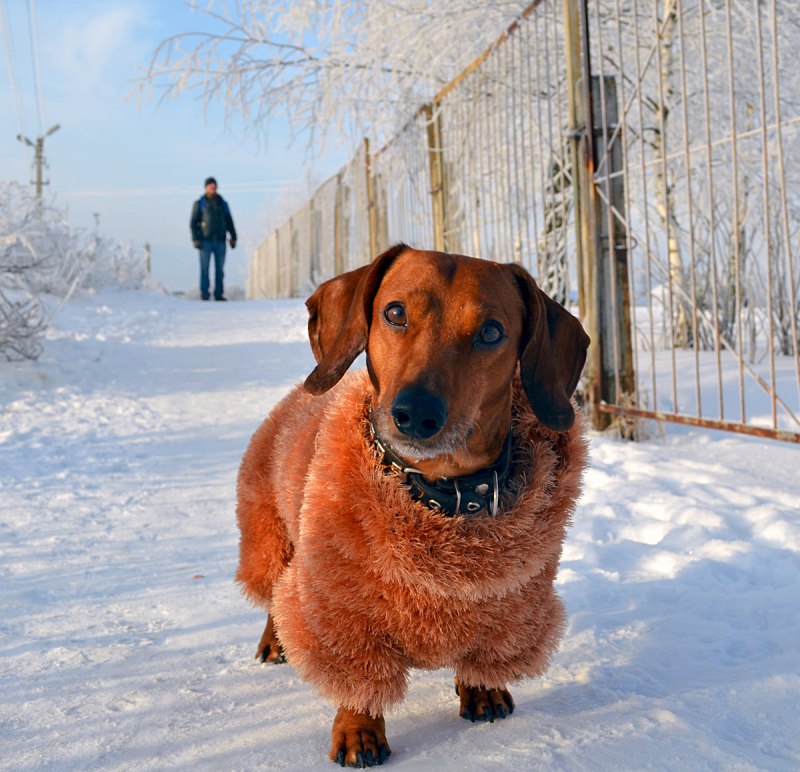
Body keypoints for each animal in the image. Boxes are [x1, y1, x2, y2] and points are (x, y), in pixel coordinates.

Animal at [234, 244, 592, 764]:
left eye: (491, 331)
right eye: (395, 312)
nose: (416, 413)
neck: (441, 498)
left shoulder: (508, 602)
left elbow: (485, 654)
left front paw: (481, 688)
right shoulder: (344, 607)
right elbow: (356, 675)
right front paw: (358, 728)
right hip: (271, 531)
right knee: (276, 591)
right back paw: (274, 640)